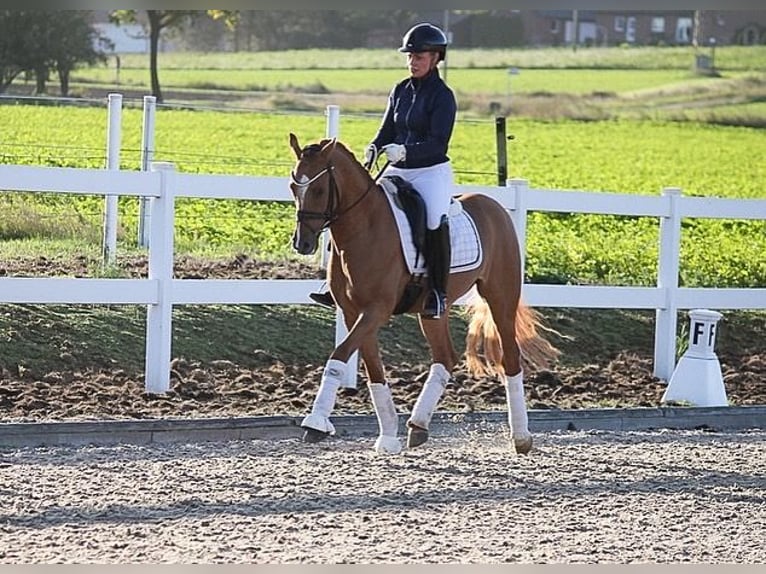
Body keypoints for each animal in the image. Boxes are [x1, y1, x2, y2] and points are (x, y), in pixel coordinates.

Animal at [288, 133, 560, 456]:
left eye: (318, 189)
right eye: (293, 187)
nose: (302, 244)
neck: (364, 228)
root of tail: (494, 206)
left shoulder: (376, 310)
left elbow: (340, 354)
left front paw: (315, 423)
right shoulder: (355, 312)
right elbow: (374, 369)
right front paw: (388, 437)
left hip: (500, 298)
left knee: (511, 357)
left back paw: (521, 437)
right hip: (432, 311)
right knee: (445, 357)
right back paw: (417, 425)